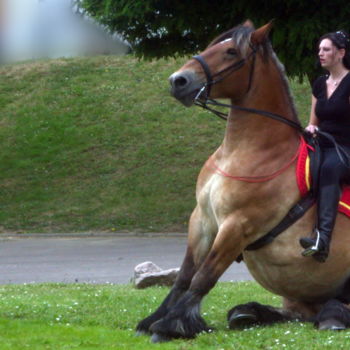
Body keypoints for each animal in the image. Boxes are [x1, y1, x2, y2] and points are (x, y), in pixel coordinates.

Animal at [137, 19, 350, 342]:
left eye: (230, 51)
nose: (178, 81)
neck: (243, 151)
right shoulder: (202, 220)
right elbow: (185, 276)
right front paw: (155, 318)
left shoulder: (238, 225)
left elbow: (204, 277)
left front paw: (170, 325)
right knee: (299, 312)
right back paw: (247, 313)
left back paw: (332, 317)